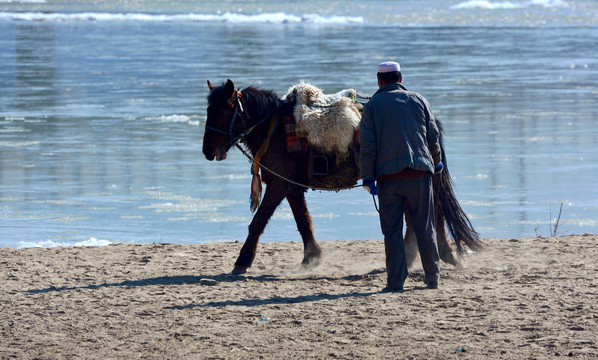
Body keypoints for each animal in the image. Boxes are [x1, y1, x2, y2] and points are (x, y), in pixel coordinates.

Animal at [203, 79, 482, 276]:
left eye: (224, 111)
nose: (207, 150)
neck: (275, 131)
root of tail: (431, 120)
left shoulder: (279, 185)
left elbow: (258, 222)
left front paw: (241, 262)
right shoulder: (290, 188)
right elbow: (304, 222)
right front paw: (311, 258)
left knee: (429, 214)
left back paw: (433, 255)